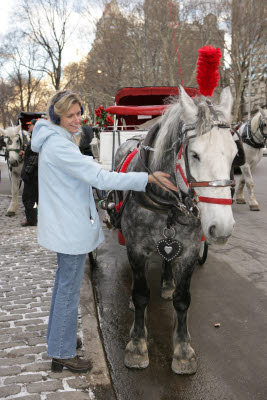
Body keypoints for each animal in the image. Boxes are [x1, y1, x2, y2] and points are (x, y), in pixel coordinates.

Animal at [114, 86, 242, 376]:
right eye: (194, 155)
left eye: (234, 155)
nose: (222, 228)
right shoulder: (135, 247)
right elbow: (141, 295)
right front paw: (137, 345)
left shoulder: (190, 249)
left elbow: (183, 299)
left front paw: (183, 350)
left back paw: (167, 282)